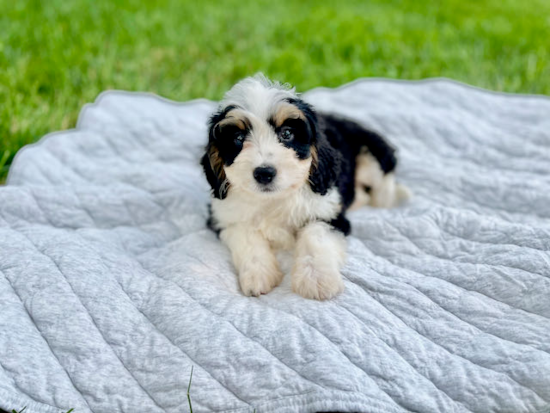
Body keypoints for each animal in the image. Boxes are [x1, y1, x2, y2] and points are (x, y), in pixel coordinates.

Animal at [203, 75, 410, 300]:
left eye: (286, 134)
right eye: (238, 139)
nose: (264, 173)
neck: (274, 198)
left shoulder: (329, 211)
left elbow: (314, 234)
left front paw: (317, 279)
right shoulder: (223, 215)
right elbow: (245, 234)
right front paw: (258, 274)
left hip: (372, 154)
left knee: (383, 186)